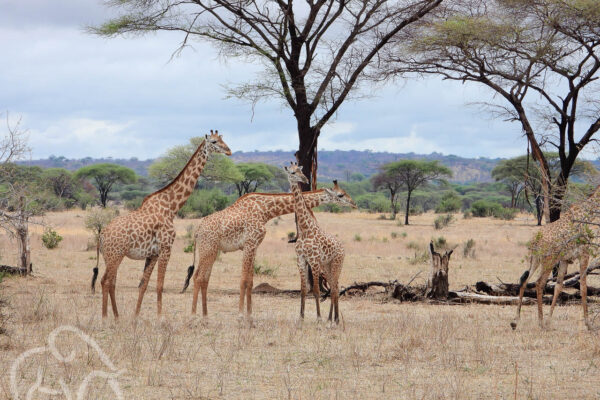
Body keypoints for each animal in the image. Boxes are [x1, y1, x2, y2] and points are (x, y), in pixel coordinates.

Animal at [94, 131, 232, 318]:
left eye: (223, 139)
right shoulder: (166, 248)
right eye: (214, 141)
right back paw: (105, 317)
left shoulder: (153, 253)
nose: (229, 150)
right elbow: (160, 285)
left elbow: (143, 285)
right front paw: (160, 317)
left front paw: (136, 316)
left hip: (110, 256)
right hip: (115, 255)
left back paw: (116, 316)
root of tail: (101, 236)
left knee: (111, 282)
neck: (171, 207)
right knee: (105, 281)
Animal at [184, 180, 356, 318]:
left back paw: (205, 315)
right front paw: (241, 314)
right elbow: (243, 280)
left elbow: (250, 281)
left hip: (212, 251)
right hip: (208, 249)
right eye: (340, 195)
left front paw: (249, 315)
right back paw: (193, 315)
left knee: (204, 278)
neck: (265, 210)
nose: (354, 203)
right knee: (198, 277)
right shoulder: (249, 244)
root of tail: (197, 231)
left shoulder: (254, 246)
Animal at [284, 161, 352, 324]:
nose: (305, 179)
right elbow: (303, 290)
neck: (305, 229)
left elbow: (315, 290)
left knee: (335, 288)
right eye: (292, 172)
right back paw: (331, 319)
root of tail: (342, 247)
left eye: (300, 170)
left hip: (337, 263)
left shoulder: (314, 261)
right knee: (334, 287)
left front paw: (318, 318)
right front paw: (301, 318)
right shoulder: (301, 260)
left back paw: (334, 320)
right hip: (327, 266)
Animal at [510, 184, 600, 328]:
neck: (587, 215)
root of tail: (535, 240)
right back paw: (540, 322)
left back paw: (516, 320)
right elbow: (583, 287)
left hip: (535, 260)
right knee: (539, 282)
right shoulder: (584, 254)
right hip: (548, 260)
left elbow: (558, 287)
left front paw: (549, 320)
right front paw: (588, 324)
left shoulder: (565, 259)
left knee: (524, 280)